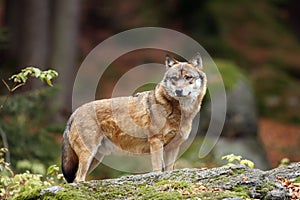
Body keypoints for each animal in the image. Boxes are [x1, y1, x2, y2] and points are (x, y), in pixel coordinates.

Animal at [61, 53, 206, 183]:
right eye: (174, 79)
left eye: (188, 77)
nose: (178, 91)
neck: (179, 111)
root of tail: (74, 113)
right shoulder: (155, 141)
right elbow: (158, 169)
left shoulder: (173, 147)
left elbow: (169, 170)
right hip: (89, 154)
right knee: (78, 179)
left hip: (96, 158)